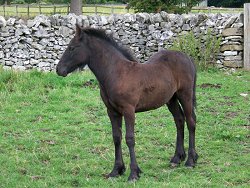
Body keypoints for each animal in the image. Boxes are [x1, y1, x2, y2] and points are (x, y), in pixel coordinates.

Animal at [56, 24, 197, 181]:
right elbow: (116, 137)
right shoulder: (112, 111)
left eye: (72, 48)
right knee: (179, 120)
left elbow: (130, 139)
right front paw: (116, 170)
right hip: (171, 99)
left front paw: (134, 173)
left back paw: (190, 161)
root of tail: (186, 57)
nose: (59, 69)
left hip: (185, 95)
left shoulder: (129, 110)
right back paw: (177, 158)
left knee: (191, 122)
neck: (117, 73)